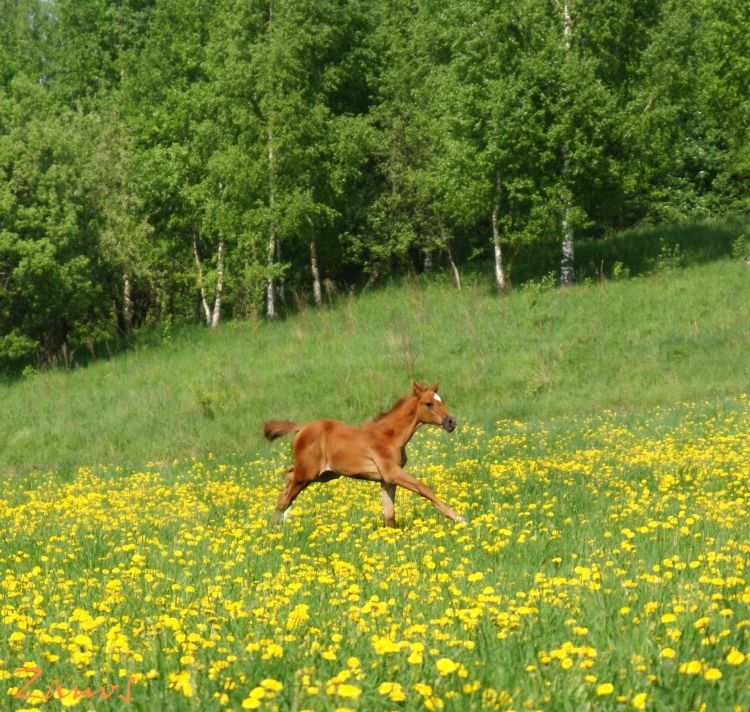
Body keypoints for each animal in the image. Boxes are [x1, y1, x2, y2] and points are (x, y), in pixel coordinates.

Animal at [264, 382, 464, 524]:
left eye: (442, 401)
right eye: (428, 404)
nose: (451, 421)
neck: (389, 436)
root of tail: (303, 427)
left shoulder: (386, 480)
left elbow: (389, 516)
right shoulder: (392, 472)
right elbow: (423, 488)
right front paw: (458, 518)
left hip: (325, 474)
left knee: (289, 474)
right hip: (308, 474)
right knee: (287, 495)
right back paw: (275, 524)